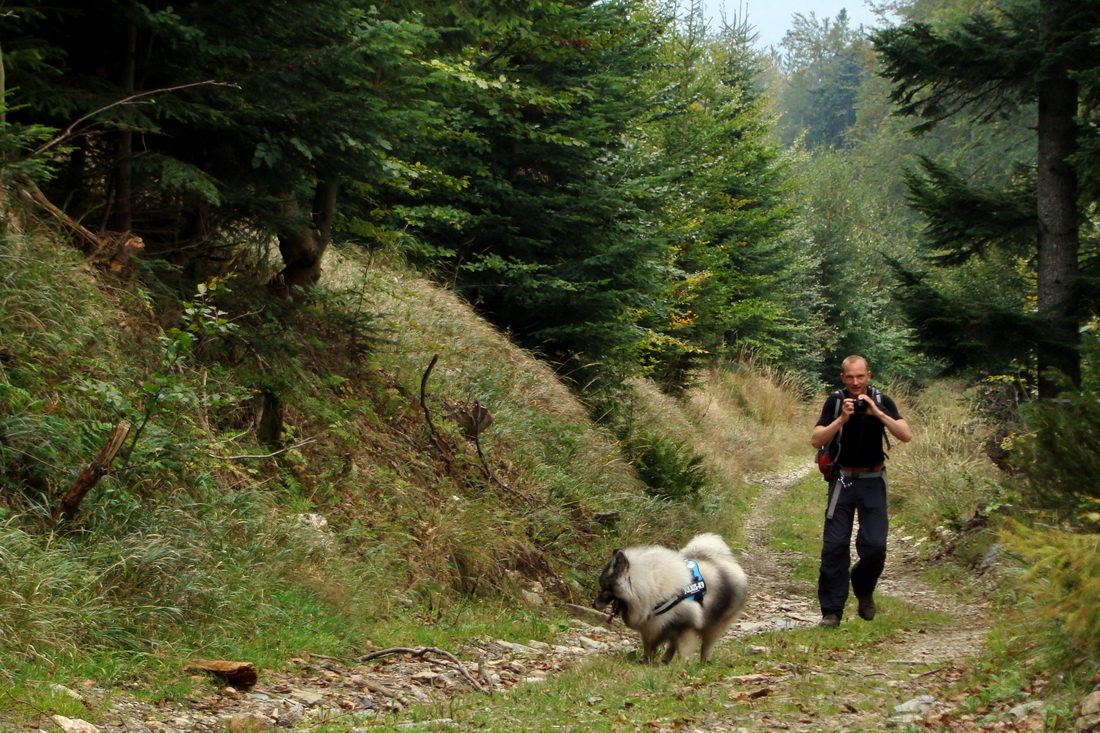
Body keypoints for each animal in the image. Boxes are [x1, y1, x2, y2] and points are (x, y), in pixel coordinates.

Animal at [594, 530, 748, 660]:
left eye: (606, 588)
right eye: (602, 587)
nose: (593, 604)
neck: (652, 586)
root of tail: (720, 559)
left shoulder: (686, 626)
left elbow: (684, 650)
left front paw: (683, 665)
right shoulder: (652, 626)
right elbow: (649, 647)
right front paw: (646, 661)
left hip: (715, 623)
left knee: (707, 645)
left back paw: (704, 661)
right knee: (673, 645)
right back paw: (665, 660)